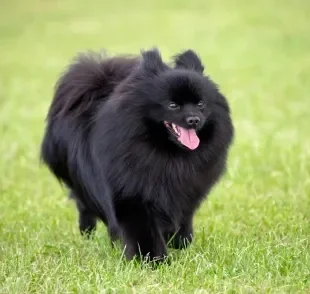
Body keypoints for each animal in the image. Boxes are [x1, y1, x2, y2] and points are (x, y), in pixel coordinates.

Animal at [41, 48, 235, 262]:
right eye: (172, 105)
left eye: (200, 104)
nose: (194, 119)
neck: (166, 154)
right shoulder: (131, 195)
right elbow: (143, 232)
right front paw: (154, 260)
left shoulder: (185, 195)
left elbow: (182, 223)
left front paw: (178, 243)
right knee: (85, 207)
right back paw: (91, 234)